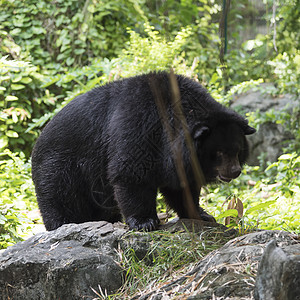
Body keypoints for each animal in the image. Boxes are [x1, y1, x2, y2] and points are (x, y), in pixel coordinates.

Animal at [31, 71, 255, 231]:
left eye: (237, 150)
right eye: (219, 152)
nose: (234, 171)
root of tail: (38, 139)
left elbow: (182, 187)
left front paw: (201, 214)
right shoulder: (140, 126)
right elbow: (131, 174)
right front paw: (144, 222)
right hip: (60, 168)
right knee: (61, 200)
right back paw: (62, 224)